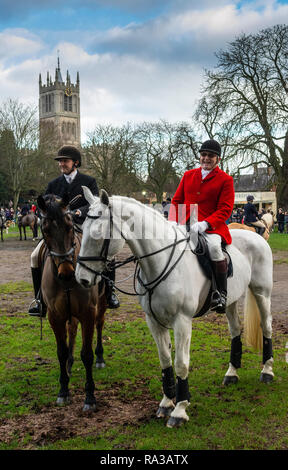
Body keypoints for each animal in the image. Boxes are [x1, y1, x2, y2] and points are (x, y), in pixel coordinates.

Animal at [36, 193, 107, 410]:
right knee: (72, 330)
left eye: (69, 226)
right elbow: (61, 351)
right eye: (46, 230)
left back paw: (100, 357)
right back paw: (69, 362)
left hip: (101, 304)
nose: (67, 273)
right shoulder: (55, 316)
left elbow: (87, 354)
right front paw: (63, 390)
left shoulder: (88, 313)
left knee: (100, 324)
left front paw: (90, 396)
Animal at [75, 188, 274, 430]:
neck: (158, 263)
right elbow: (165, 361)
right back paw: (232, 373)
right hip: (231, 301)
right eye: (81, 228)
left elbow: (180, 364)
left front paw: (179, 410)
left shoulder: (182, 321)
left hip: (262, 293)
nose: (82, 279)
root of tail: (256, 236)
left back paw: (267, 371)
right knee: (236, 330)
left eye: (97, 234)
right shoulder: (153, 320)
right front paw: (166, 403)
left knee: (266, 327)